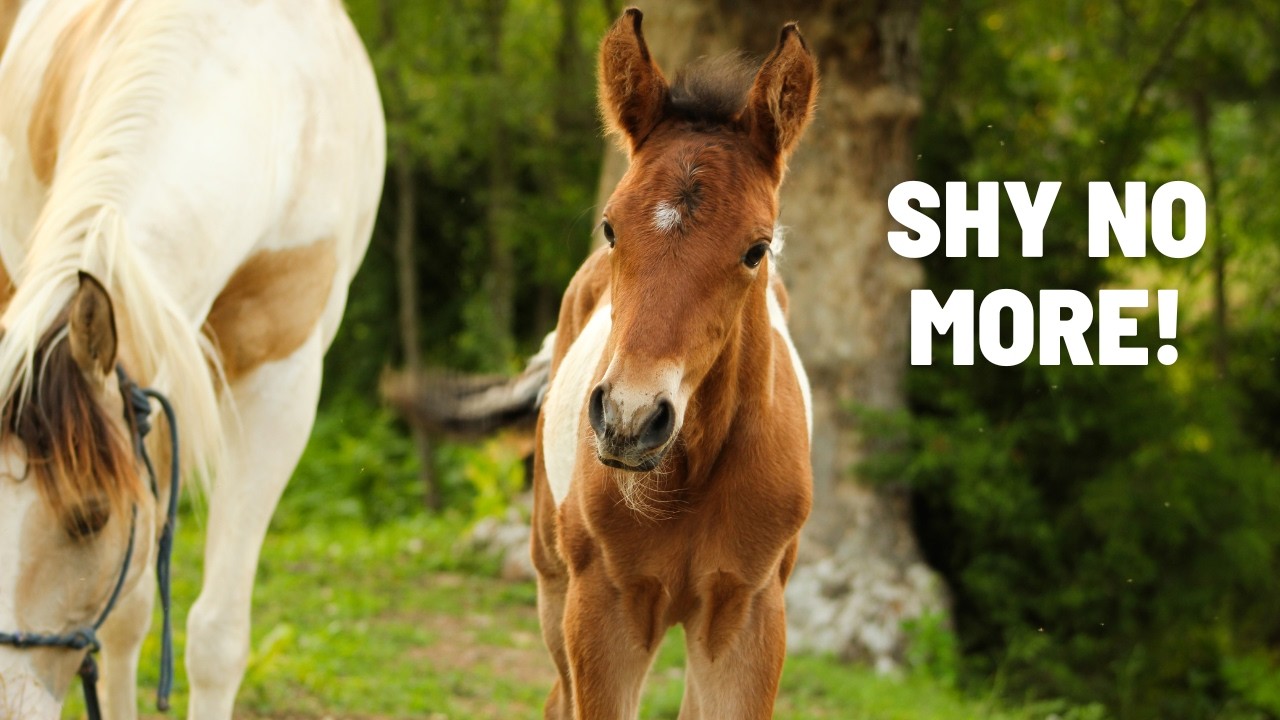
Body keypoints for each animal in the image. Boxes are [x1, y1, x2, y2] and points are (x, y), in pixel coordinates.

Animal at [531, 8, 816, 718]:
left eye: (756, 249)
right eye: (611, 227)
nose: (630, 419)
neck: (691, 473)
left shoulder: (747, 617)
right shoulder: (601, 612)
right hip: (552, 582)